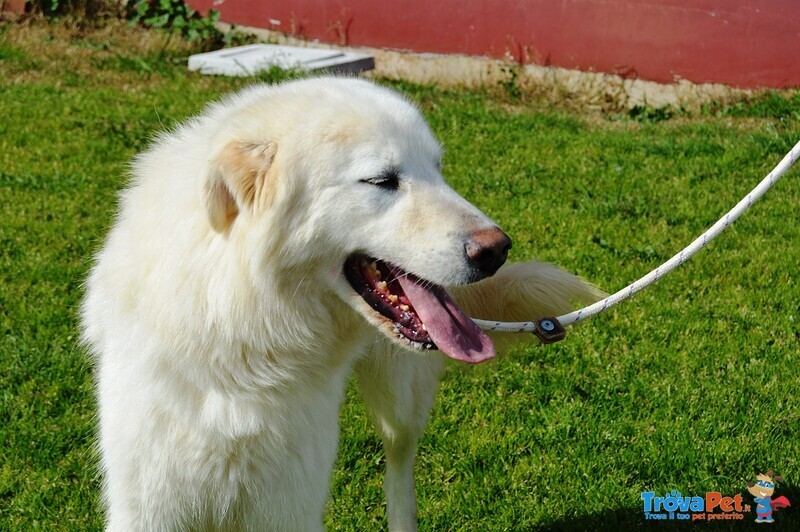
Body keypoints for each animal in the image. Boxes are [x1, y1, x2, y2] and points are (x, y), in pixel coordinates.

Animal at [83, 77, 600, 528]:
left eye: (437, 169)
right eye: (381, 180)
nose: (497, 249)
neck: (237, 320)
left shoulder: (288, 504)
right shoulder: (148, 503)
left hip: (400, 403)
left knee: (399, 470)